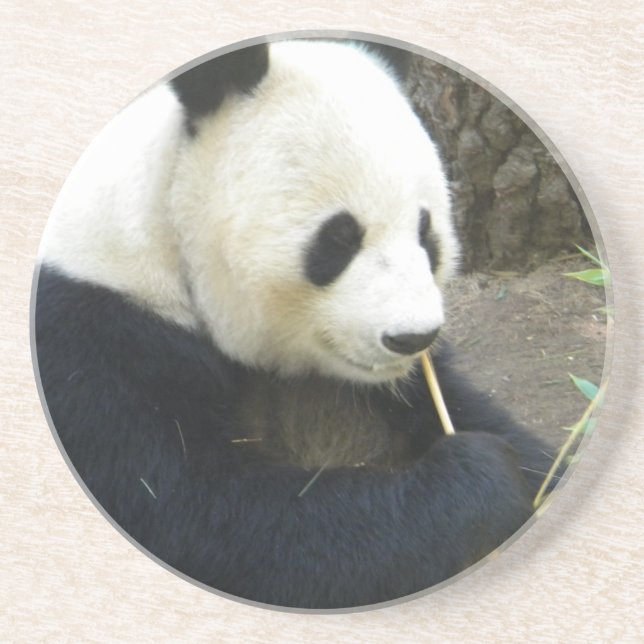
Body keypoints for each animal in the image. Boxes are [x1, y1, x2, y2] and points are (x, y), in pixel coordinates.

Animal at [35, 39, 553, 609]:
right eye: (339, 239)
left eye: (426, 230)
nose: (412, 337)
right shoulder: (95, 345)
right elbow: (223, 522)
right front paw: (485, 473)